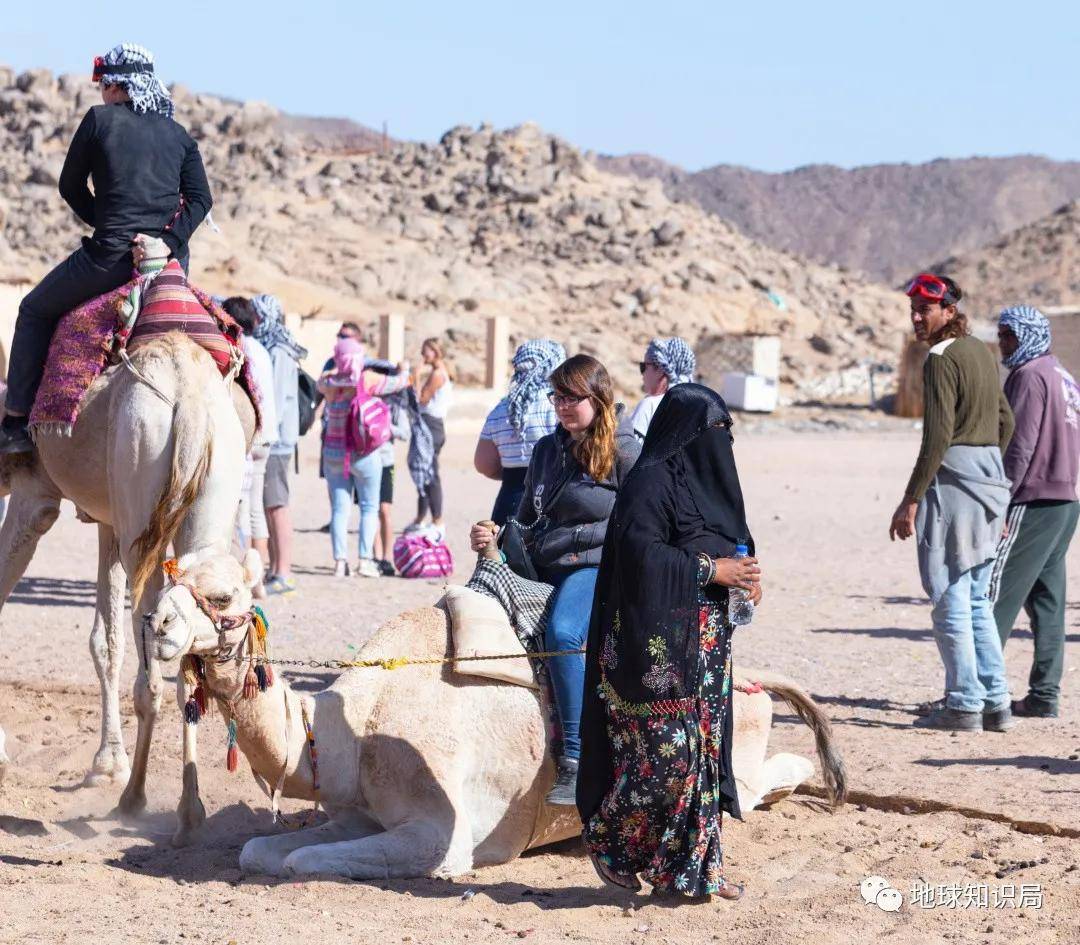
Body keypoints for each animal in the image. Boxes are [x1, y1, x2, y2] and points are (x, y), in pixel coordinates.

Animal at [0, 330, 250, 842]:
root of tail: (188, 397)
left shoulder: (36, 495)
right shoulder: (108, 522)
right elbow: (107, 641)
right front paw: (106, 762)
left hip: (139, 473)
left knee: (151, 670)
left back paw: (134, 799)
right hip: (207, 491)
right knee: (184, 653)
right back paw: (188, 810)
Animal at [147, 550, 846, 881]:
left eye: (220, 596)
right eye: (170, 578)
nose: (155, 625)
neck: (356, 726)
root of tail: (746, 674)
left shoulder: (442, 835)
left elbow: (296, 864)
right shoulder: (358, 811)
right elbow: (258, 852)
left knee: (763, 777)